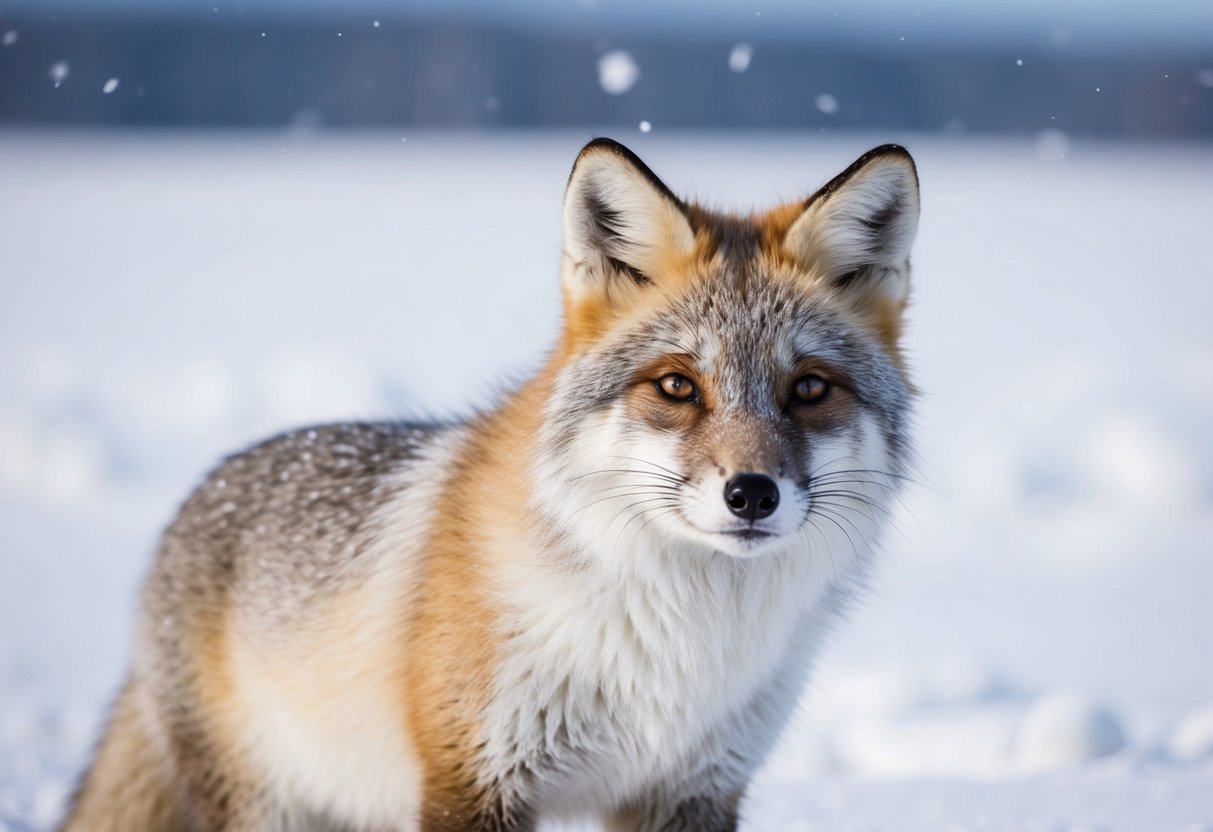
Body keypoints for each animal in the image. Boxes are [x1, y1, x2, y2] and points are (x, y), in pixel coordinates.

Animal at [63, 138, 920, 832]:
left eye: (808, 389)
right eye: (677, 386)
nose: (750, 494)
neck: (676, 646)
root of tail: (206, 488)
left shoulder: (690, 789)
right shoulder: (472, 777)